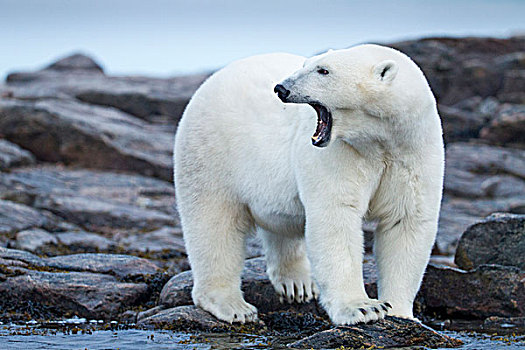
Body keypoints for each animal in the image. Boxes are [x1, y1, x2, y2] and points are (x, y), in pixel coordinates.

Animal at [174, 43, 444, 326]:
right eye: (307, 64)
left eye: (323, 70)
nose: (281, 88)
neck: (380, 142)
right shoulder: (341, 153)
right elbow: (336, 218)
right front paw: (362, 308)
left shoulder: (414, 154)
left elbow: (405, 221)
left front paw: (401, 312)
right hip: (211, 151)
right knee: (214, 225)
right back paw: (233, 305)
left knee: (279, 224)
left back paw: (297, 283)